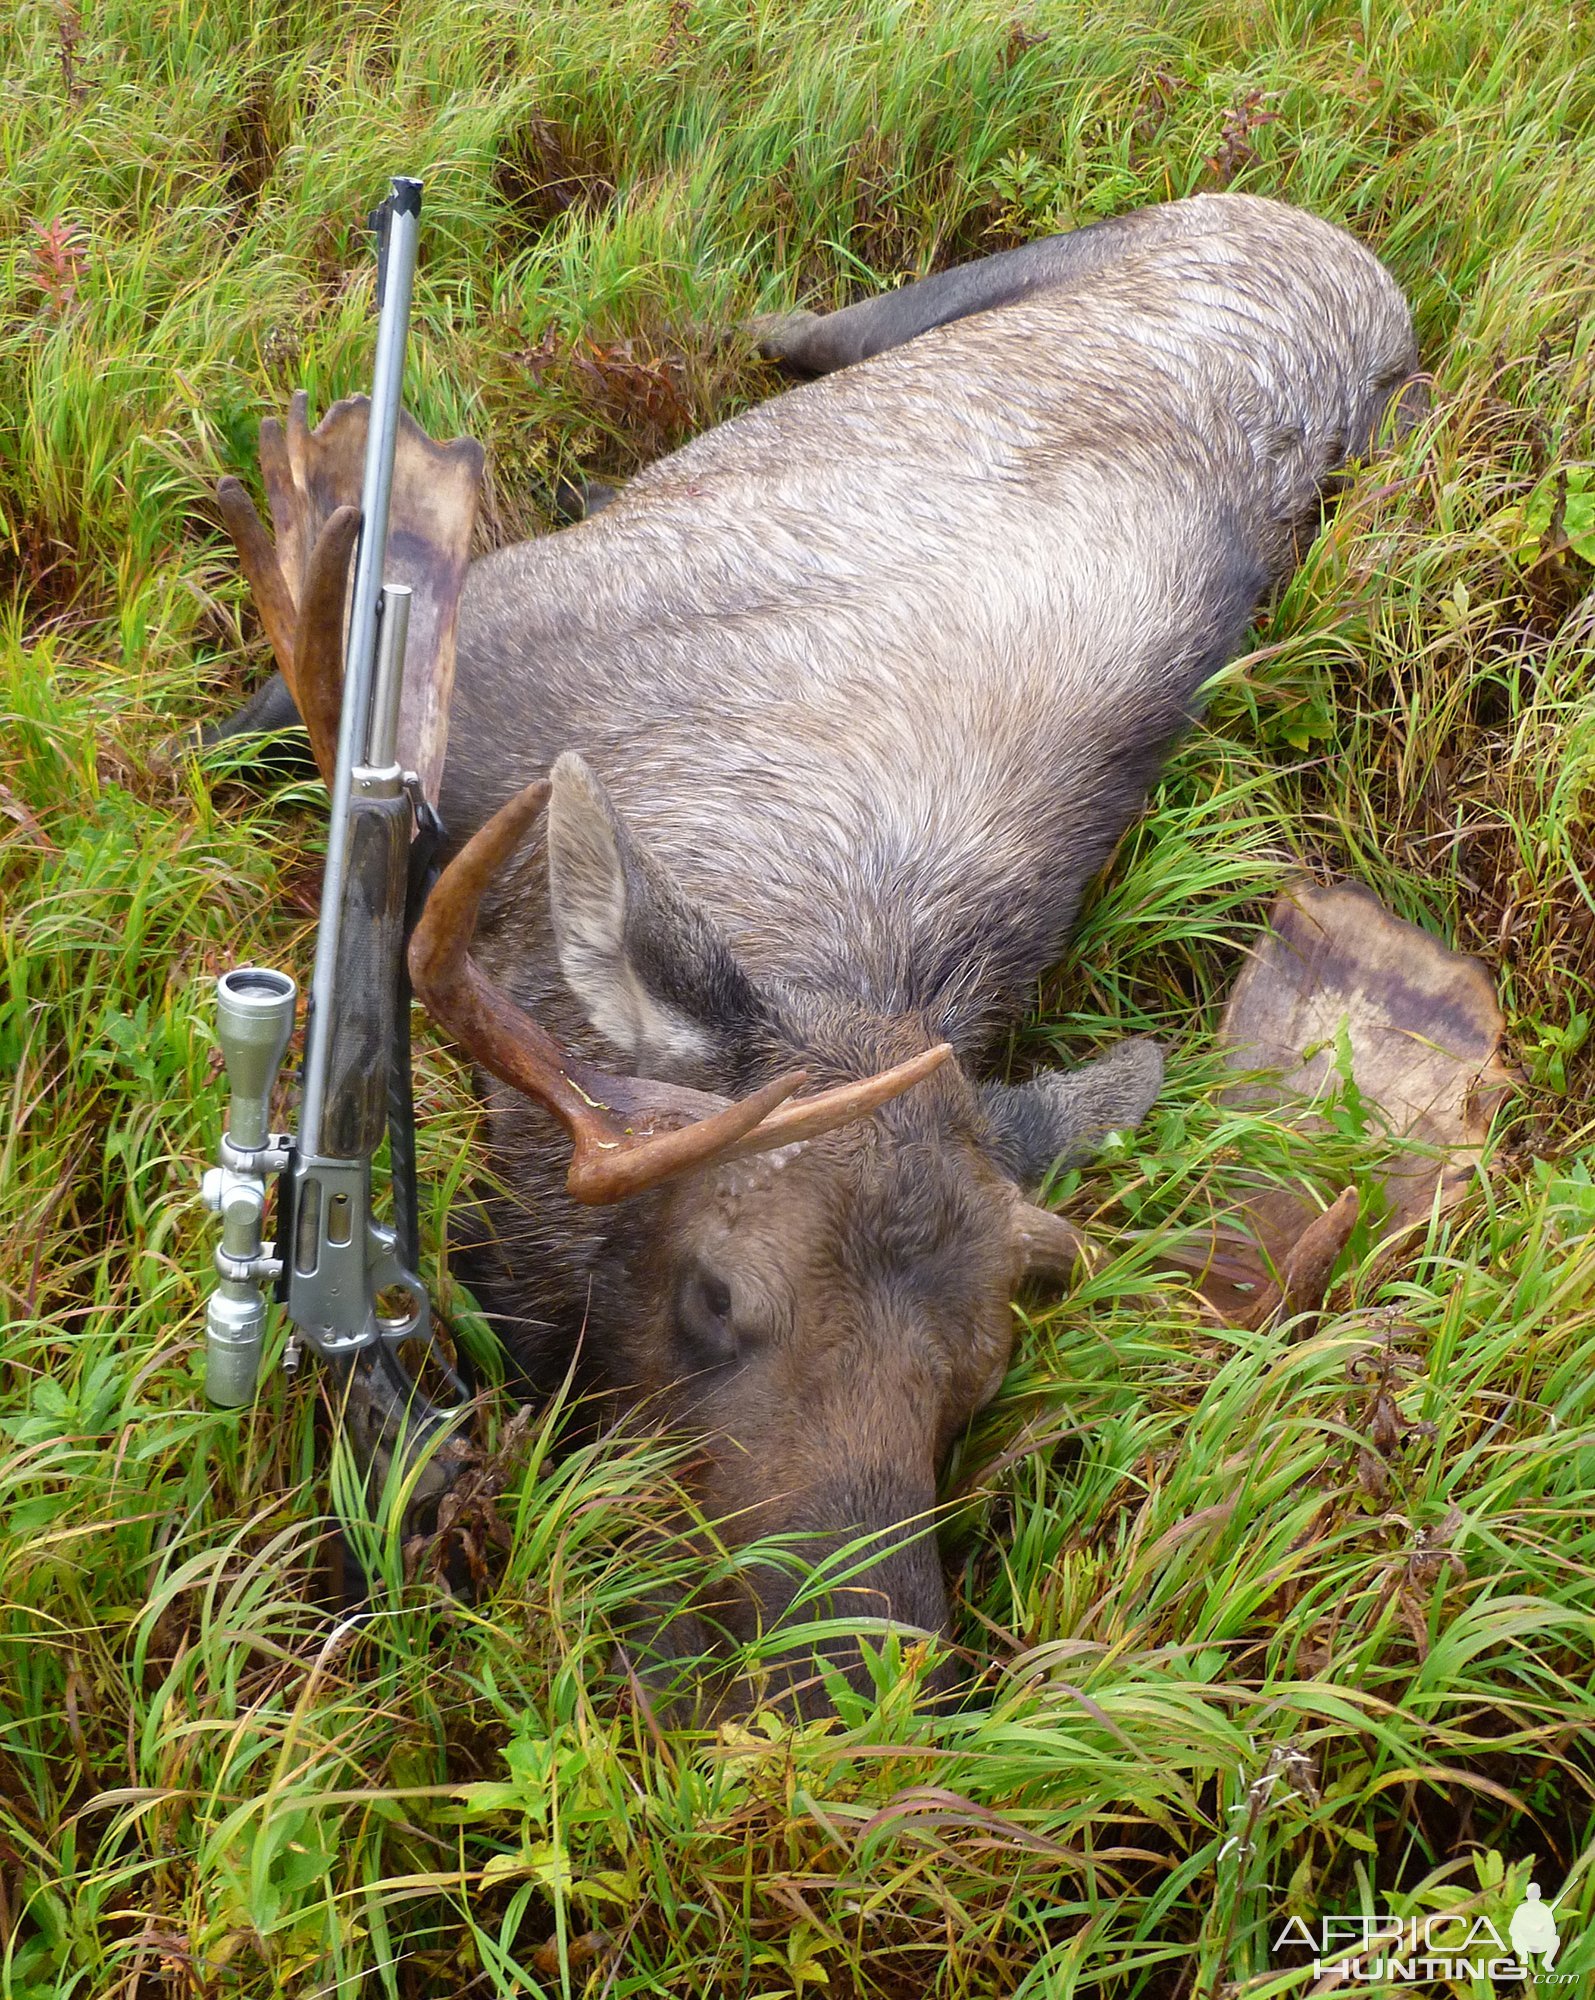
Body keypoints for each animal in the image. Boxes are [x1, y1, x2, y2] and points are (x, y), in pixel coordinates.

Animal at [215, 195, 1423, 1712]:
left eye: (978, 1372)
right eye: (715, 1292)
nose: (859, 1686)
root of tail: (1347, 257)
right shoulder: (465, 623)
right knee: (793, 325)